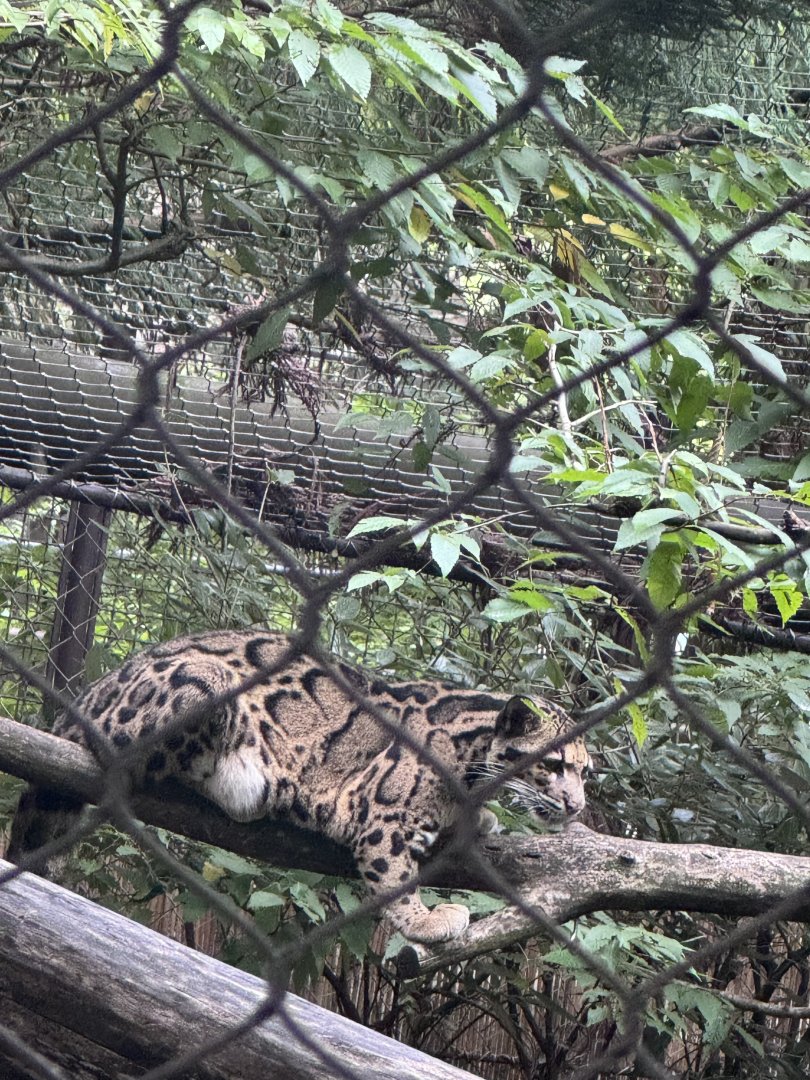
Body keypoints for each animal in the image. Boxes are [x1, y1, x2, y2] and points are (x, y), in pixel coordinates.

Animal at [8, 630, 590, 943]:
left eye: (586, 772)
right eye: (555, 765)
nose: (577, 804)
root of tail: (86, 697)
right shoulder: (378, 812)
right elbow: (394, 876)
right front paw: (424, 920)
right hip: (203, 684)